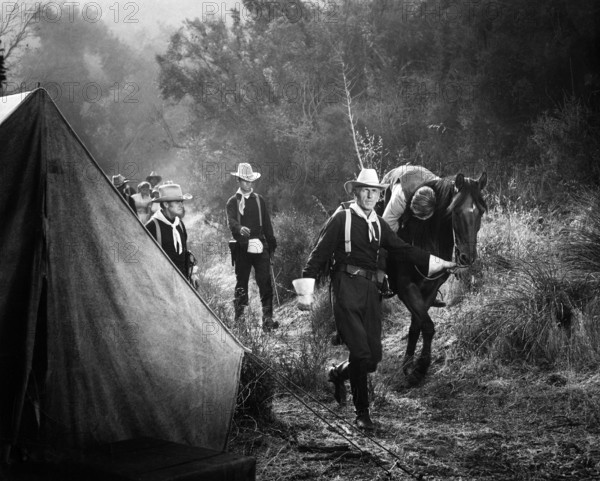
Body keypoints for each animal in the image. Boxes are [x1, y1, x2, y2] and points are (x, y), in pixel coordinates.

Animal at [380, 167, 488, 384]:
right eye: (456, 212)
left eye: (480, 212)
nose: (468, 257)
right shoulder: (406, 288)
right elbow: (427, 326)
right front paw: (419, 367)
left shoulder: (430, 289)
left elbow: (418, 326)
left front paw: (412, 365)